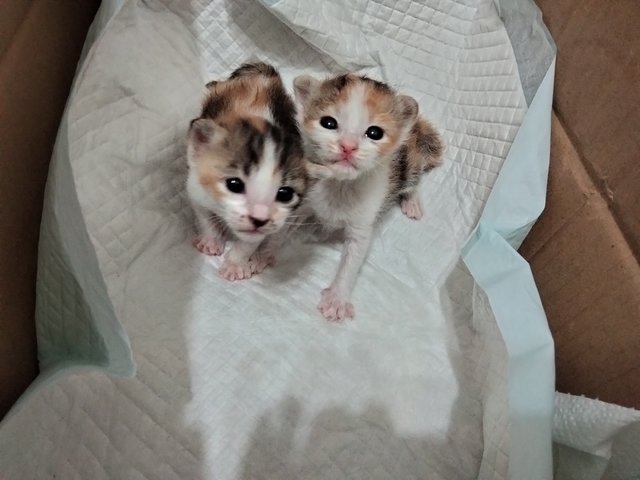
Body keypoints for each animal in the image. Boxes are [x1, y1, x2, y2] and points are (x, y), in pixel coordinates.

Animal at [188, 63, 308, 282]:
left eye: (284, 194)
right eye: (234, 184)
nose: (259, 218)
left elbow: (249, 243)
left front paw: (235, 265)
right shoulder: (196, 188)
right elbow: (205, 218)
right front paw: (211, 242)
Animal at [294, 74, 440, 322]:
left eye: (374, 133)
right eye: (328, 123)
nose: (348, 147)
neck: (340, 185)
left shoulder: (362, 225)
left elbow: (352, 261)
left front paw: (337, 300)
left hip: (409, 163)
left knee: (413, 179)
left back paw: (411, 201)